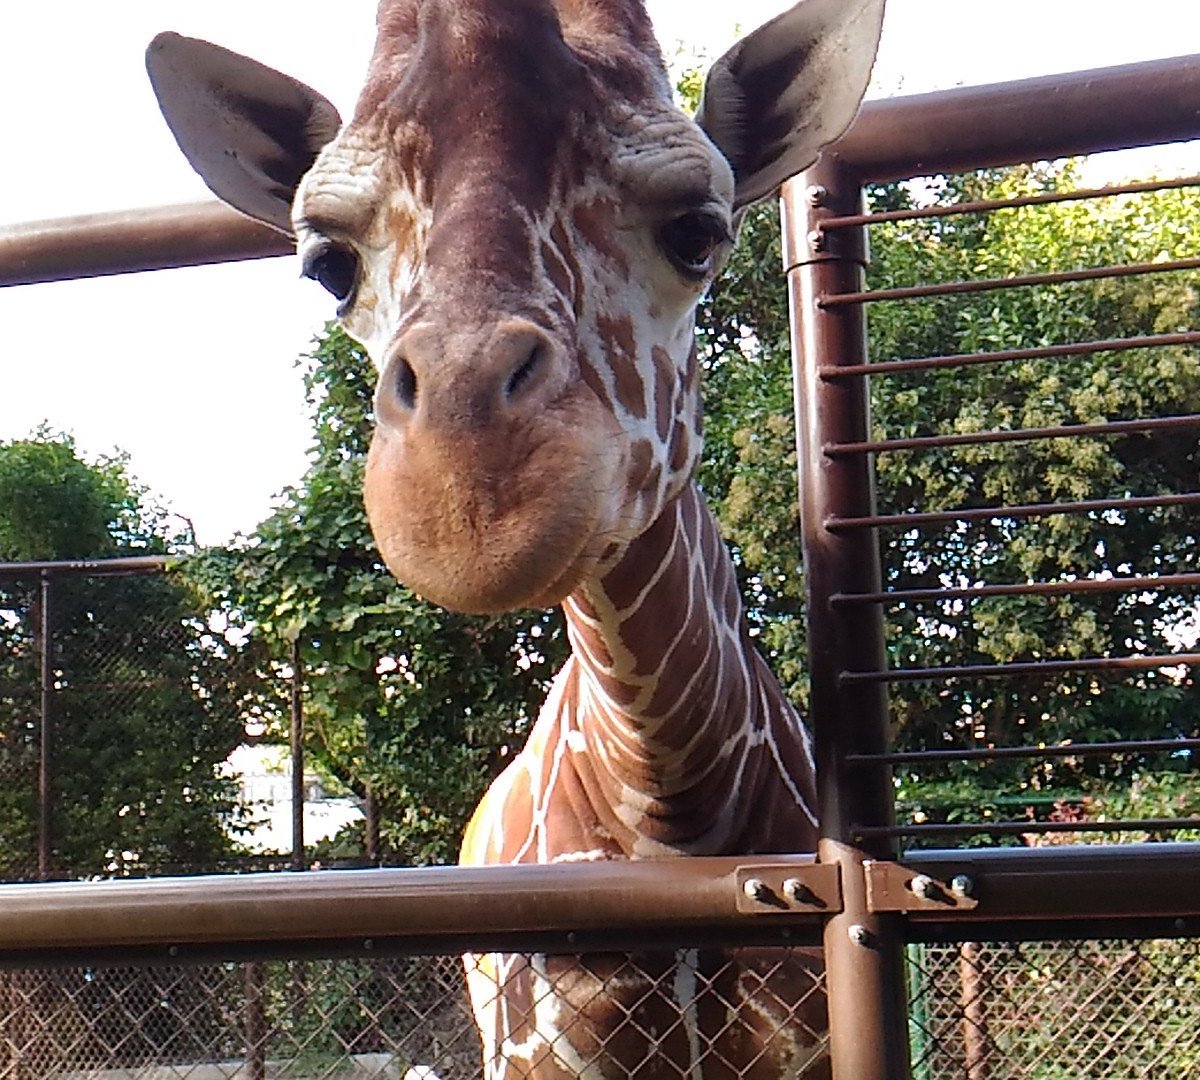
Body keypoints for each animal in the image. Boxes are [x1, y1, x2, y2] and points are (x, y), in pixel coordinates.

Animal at [147, 2, 883, 1070]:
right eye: (328, 266)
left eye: (698, 232)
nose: (471, 503)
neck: (672, 805)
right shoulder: (539, 1053)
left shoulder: (806, 1045)